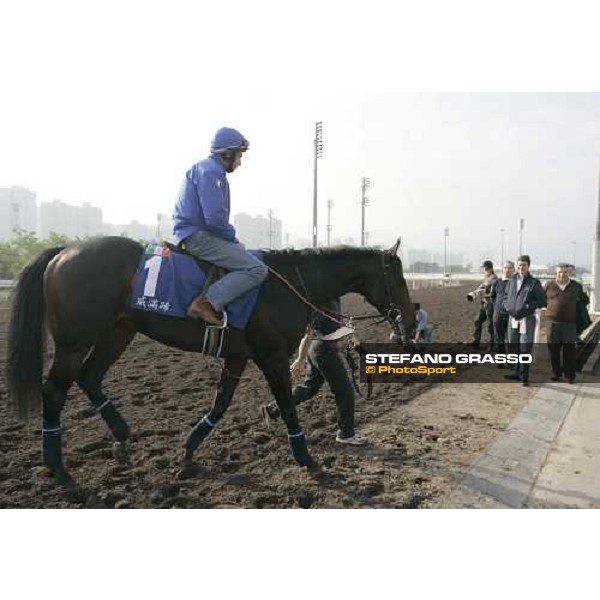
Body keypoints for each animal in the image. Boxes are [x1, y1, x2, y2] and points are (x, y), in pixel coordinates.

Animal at [5, 237, 412, 480]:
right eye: (400, 278)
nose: (407, 321)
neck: (287, 284)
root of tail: (61, 252)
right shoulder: (271, 356)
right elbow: (286, 404)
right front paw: (306, 458)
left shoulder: (238, 356)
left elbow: (220, 404)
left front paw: (187, 451)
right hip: (74, 342)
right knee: (54, 390)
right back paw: (55, 464)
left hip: (119, 331)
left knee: (89, 377)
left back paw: (121, 438)